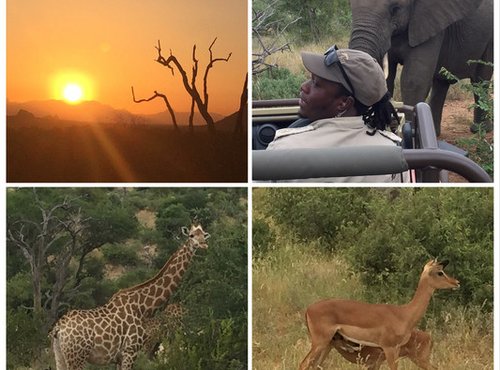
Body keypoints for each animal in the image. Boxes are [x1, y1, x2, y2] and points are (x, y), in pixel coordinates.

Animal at [49, 224, 209, 368]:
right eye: (191, 235)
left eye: (203, 234)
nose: (204, 244)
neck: (143, 308)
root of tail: (59, 328)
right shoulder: (130, 351)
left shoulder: (120, 358)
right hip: (77, 357)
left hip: (60, 355)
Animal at [350, 0, 494, 136]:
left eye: (395, 9)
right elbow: (386, 79)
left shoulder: (428, 22)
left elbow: (413, 81)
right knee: (441, 82)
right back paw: (435, 133)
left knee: (480, 80)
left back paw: (480, 130)